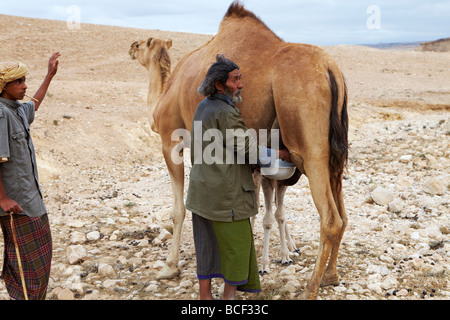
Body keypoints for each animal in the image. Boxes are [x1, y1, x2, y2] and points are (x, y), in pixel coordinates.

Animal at [129, 1, 348, 300]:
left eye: (141, 44)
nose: (130, 46)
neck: (164, 94)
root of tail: (330, 69)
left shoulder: (170, 141)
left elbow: (179, 209)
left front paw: (169, 266)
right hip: (335, 151)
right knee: (343, 213)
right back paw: (330, 276)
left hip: (309, 144)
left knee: (330, 218)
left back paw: (310, 288)